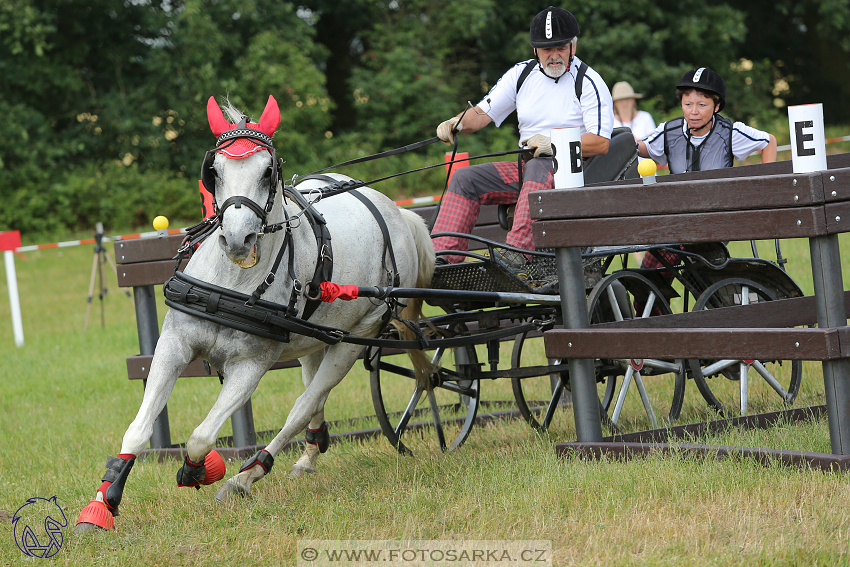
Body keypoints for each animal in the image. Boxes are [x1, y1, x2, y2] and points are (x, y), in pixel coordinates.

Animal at [75, 94, 434, 532]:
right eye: (214, 170)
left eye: (267, 171)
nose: (237, 239)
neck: (233, 282)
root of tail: (396, 212)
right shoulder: (173, 345)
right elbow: (137, 430)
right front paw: (102, 504)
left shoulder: (250, 366)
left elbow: (201, 436)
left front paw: (202, 470)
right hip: (315, 338)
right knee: (313, 399)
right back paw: (310, 453)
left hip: (355, 338)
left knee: (303, 405)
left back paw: (247, 476)